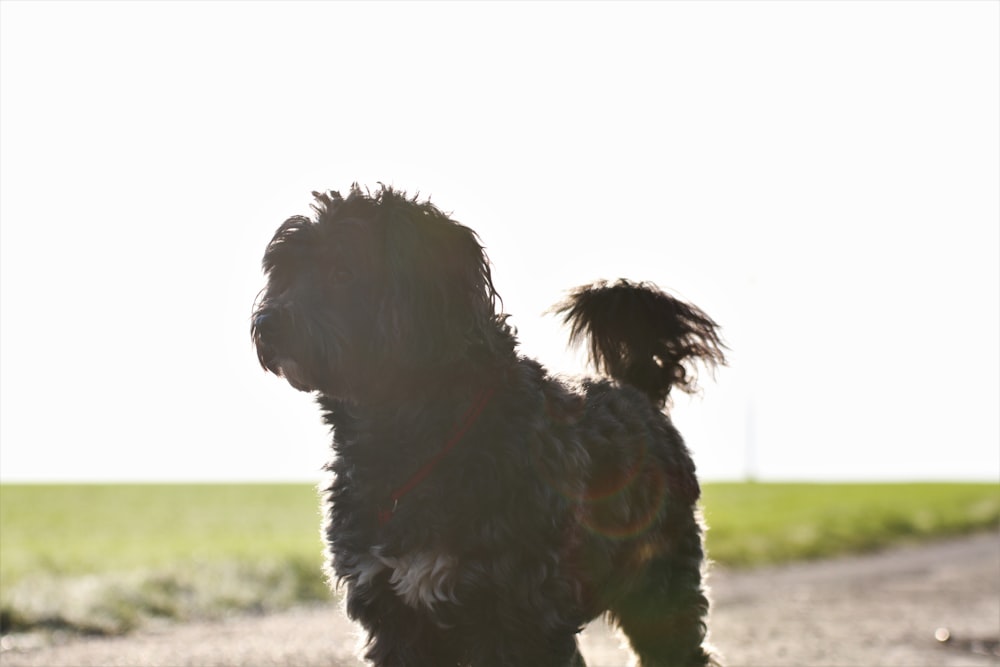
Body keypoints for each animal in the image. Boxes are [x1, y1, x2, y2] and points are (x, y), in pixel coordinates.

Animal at [250, 184, 728, 667]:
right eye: (285, 273)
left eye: (343, 271)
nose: (267, 323)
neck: (408, 445)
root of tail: (637, 391)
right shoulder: (392, 611)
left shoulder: (523, 614)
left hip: (660, 584)